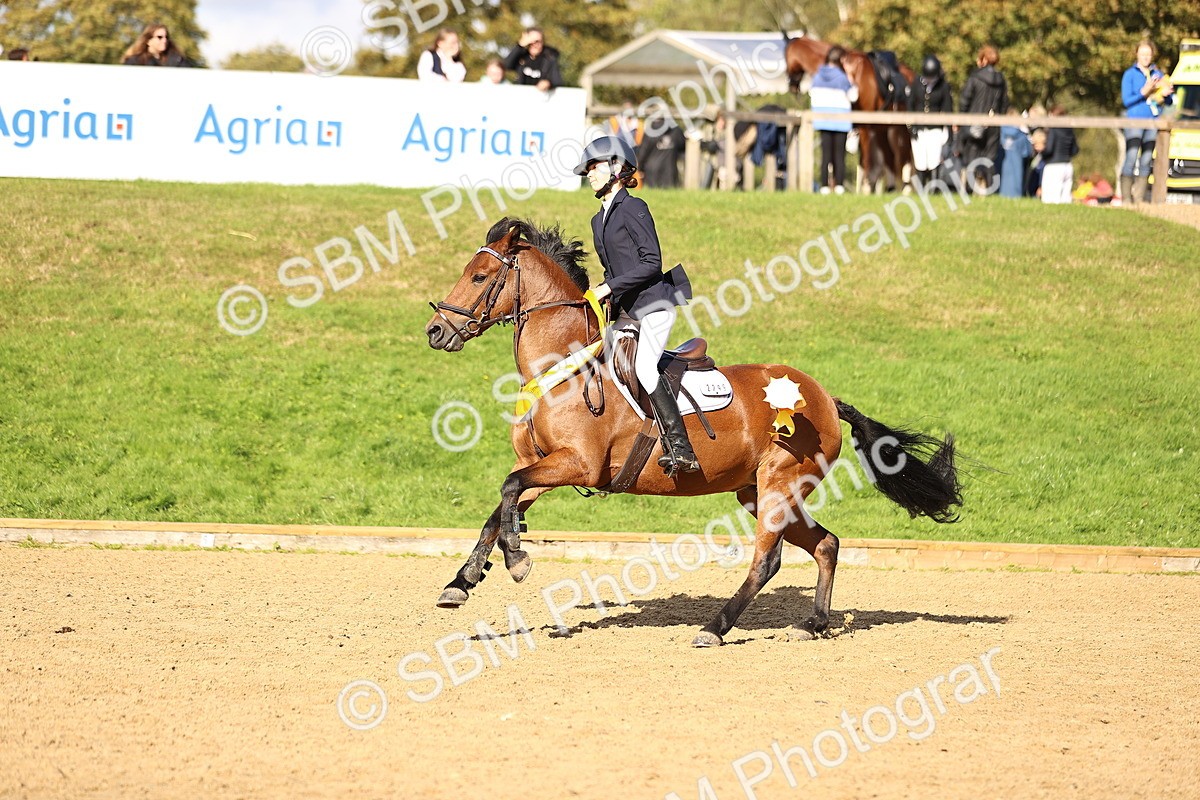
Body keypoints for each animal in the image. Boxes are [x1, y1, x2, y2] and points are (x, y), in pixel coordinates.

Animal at [425, 218, 963, 647]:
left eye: (479, 276)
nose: (435, 331)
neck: (563, 369)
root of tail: (826, 398)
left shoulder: (576, 464)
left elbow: (507, 491)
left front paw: (516, 561)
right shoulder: (542, 465)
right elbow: (499, 509)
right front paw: (462, 581)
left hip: (779, 482)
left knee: (767, 561)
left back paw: (715, 628)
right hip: (760, 490)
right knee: (826, 544)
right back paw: (814, 623)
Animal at [782, 32, 914, 193]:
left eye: (785, 56)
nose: (791, 85)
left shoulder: (865, 127)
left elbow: (865, 160)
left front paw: (865, 187)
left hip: (900, 129)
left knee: (904, 157)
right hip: (883, 129)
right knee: (890, 157)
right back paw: (890, 188)